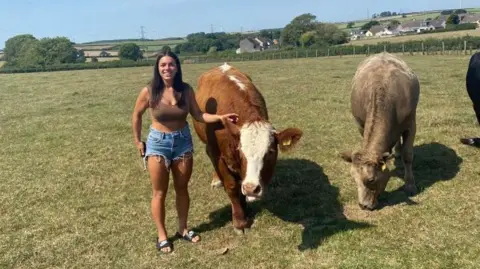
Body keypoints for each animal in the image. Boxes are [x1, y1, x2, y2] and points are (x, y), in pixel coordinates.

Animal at [192, 62, 302, 230]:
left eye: (270, 152)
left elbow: (240, 185)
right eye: (241, 151)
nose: (252, 188)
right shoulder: (217, 154)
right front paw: (240, 220)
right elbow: (232, 186)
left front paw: (245, 209)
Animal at [338, 52, 420, 209]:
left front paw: (410, 185)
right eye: (353, 177)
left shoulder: (411, 123)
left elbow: (408, 155)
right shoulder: (361, 124)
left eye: (371, 180)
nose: (363, 205)